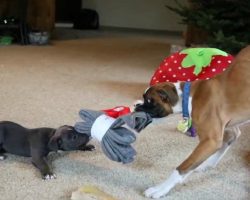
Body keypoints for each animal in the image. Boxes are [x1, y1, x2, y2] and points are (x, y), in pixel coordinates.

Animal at [136, 46, 250, 198]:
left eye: (149, 101)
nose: (137, 106)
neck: (189, 96)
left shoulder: (210, 141)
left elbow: (182, 168)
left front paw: (160, 189)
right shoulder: (228, 129)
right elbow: (227, 142)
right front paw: (207, 164)